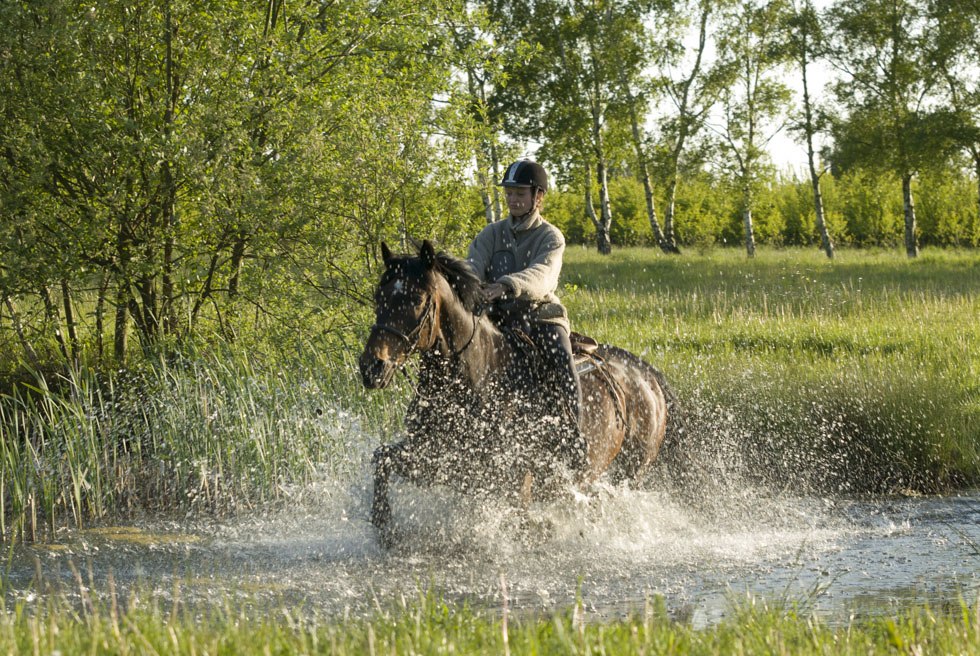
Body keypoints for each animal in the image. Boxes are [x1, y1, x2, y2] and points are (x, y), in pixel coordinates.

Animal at [358, 242, 680, 544]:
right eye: (379, 296)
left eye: (417, 299)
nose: (372, 366)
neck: (480, 381)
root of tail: (647, 375)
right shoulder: (437, 462)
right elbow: (381, 458)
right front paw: (383, 524)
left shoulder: (511, 482)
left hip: (633, 468)